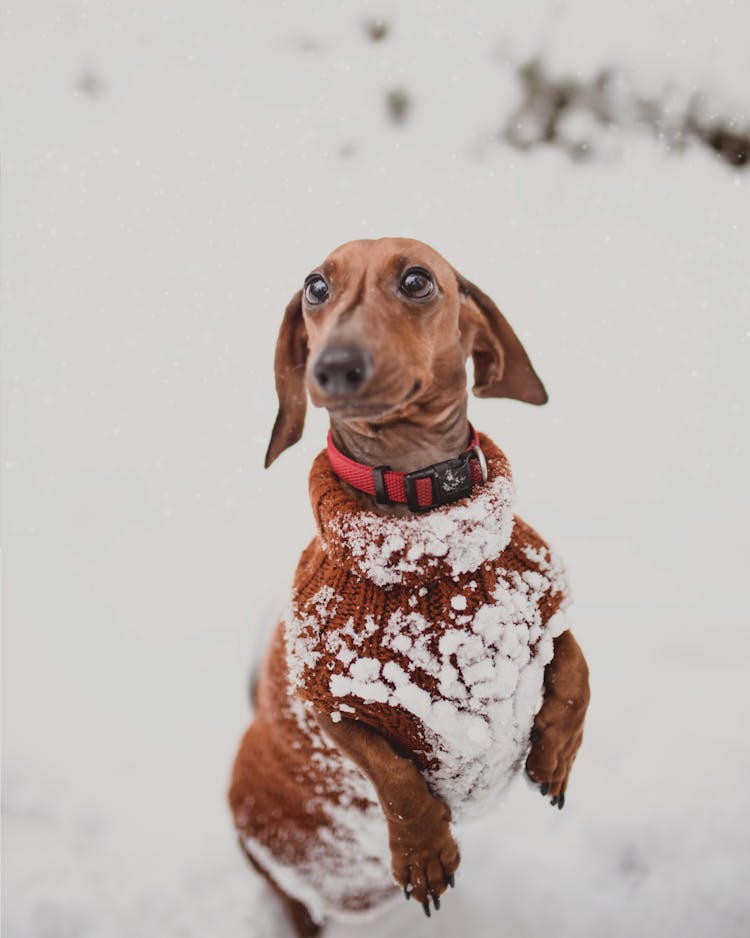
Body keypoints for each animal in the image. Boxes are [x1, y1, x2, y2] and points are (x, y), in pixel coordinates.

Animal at [226, 238, 592, 932]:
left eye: (418, 280)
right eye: (315, 287)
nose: (333, 367)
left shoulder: (545, 608)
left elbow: (576, 677)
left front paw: (554, 758)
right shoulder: (328, 702)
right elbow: (394, 777)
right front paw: (424, 851)